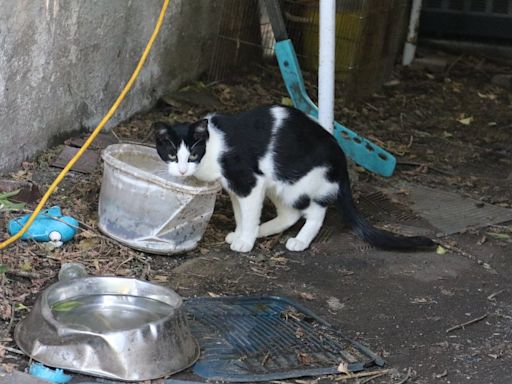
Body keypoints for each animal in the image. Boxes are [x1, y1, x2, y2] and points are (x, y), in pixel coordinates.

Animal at [154, 105, 434, 254]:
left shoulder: (249, 180)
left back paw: (300, 240)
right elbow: (241, 214)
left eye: (193, 154)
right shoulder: (237, 188)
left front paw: (246, 241)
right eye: (171, 154)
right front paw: (243, 234)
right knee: (290, 214)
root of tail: (339, 155)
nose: (182, 171)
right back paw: (264, 230)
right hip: (277, 184)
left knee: (315, 211)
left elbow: (249, 213)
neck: (212, 146)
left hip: (298, 183)